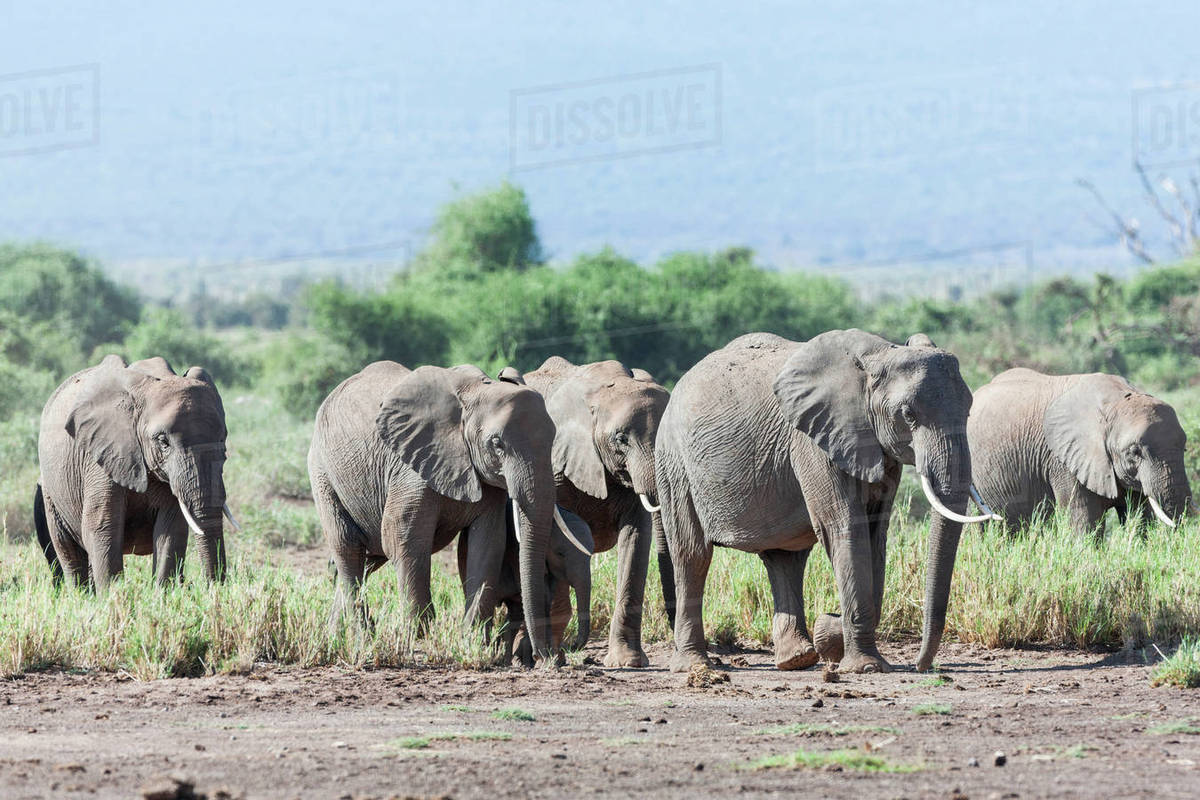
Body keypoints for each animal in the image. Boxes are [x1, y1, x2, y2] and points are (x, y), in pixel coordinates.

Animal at [35, 354, 234, 589]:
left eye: (223, 438)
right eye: (163, 442)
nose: (212, 587)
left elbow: (171, 528)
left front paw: (161, 593)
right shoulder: (102, 455)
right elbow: (102, 527)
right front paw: (113, 595)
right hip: (50, 490)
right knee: (68, 550)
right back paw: (80, 594)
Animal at [307, 361, 559, 660]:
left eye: (553, 440)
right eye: (497, 444)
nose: (546, 657)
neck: (475, 395)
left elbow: (487, 543)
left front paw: (471, 641)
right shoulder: (411, 469)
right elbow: (402, 537)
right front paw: (418, 641)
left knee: (366, 559)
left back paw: (335, 640)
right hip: (322, 472)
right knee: (348, 547)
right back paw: (362, 643)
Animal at [459, 504, 593, 666]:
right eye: (560, 554)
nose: (572, 646)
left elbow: (544, 601)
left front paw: (549, 659)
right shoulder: (516, 552)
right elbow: (541, 600)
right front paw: (546, 660)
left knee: (514, 613)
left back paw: (509, 660)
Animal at [655, 330, 994, 674]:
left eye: (968, 410)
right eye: (908, 415)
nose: (919, 666)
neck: (879, 355)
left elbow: (875, 533)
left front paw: (829, 634)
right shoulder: (813, 441)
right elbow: (845, 528)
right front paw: (865, 666)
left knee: (785, 558)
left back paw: (797, 659)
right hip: (674, 463)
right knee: (692, 554)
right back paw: (695, 665)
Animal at [968, 368, 1193, 535]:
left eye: (1184, 447)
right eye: (1135, 452)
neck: (1116, 400)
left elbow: (1140, 517)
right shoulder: (1063, 460)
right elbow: (1084, 522)